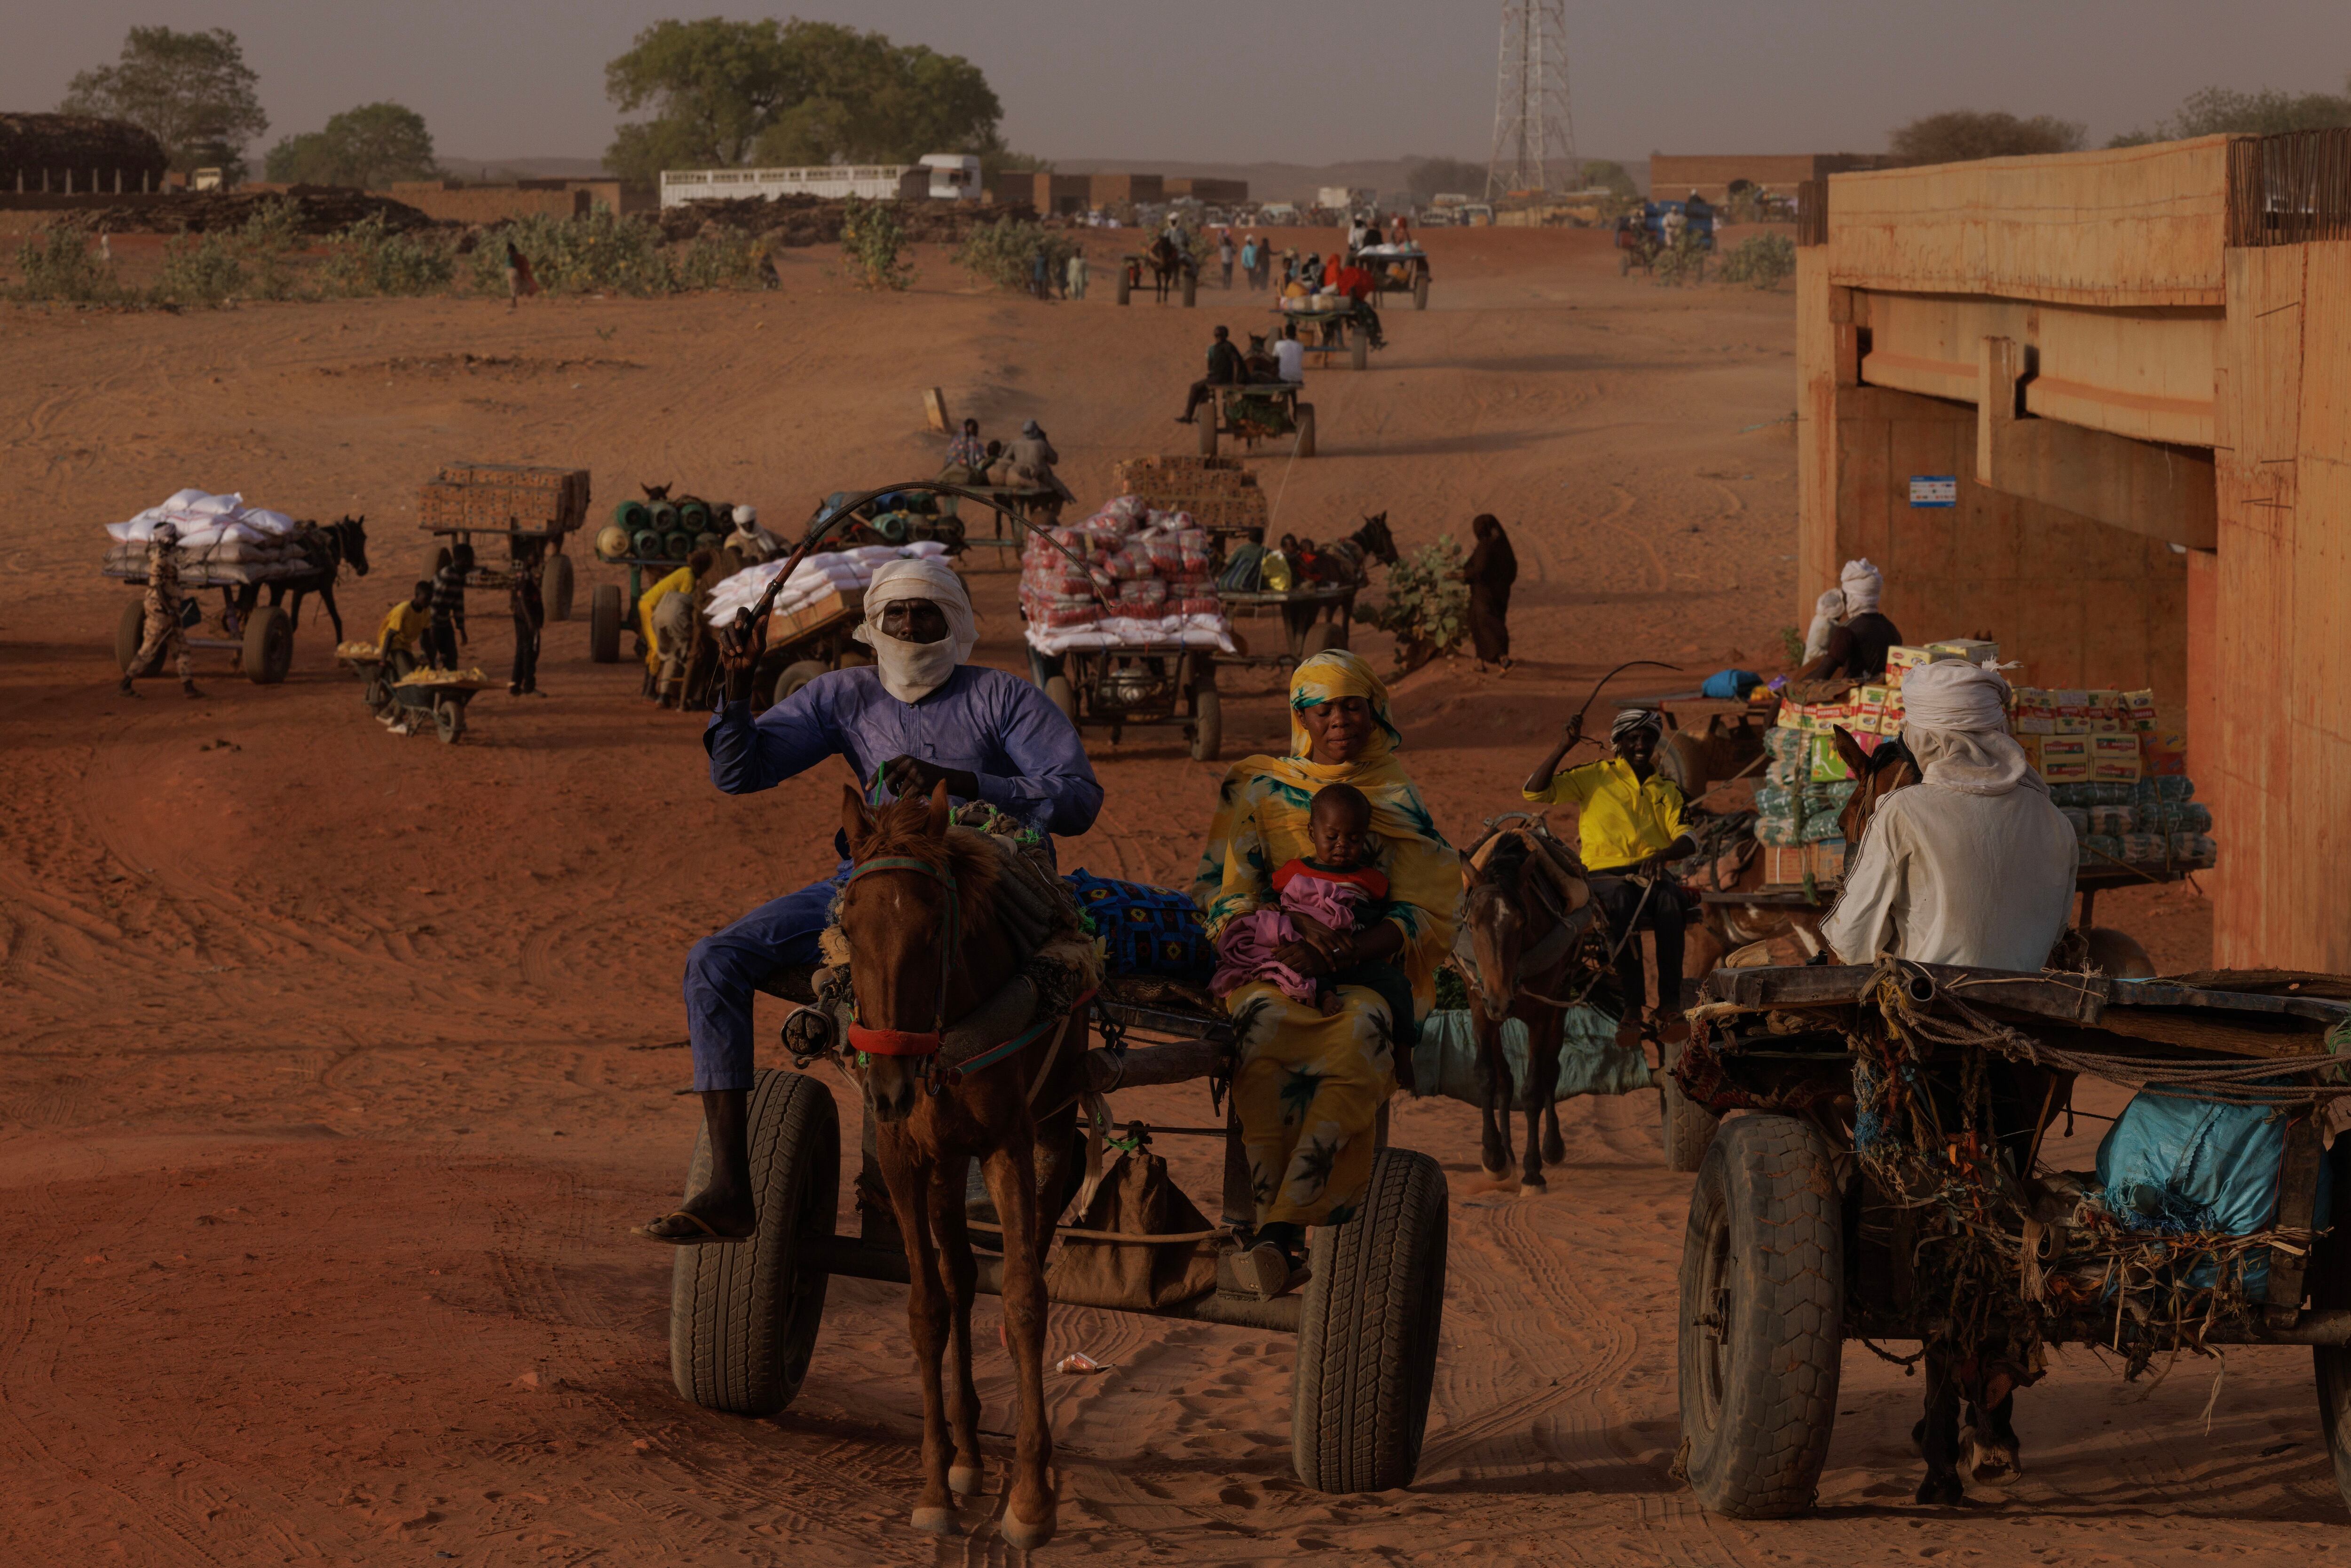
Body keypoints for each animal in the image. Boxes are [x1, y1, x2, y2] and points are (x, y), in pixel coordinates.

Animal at [832, 785, 1086, 1542]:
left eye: (933, 927)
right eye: (848, 926)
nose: (890, 1084)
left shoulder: (1009, 1143)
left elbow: (1027, 1299)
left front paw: (1031, 1497)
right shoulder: (902, 1155)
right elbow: (926, 1307)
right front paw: (935, 1484)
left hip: (1051, 1126)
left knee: (1004, 1268)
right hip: (944, 1164)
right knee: (959, 1279)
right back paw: (967, 1455)